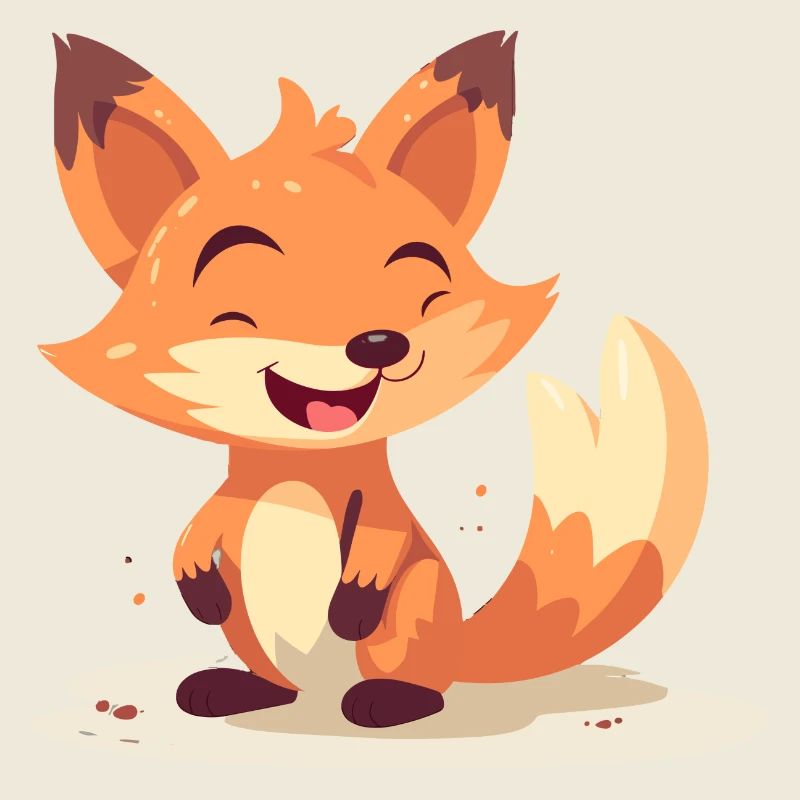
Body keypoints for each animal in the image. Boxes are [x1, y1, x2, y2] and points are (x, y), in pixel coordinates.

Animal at [42, 30, 707, 728]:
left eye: (423, 289)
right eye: (244, 302)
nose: (380, 342)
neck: (300, 470)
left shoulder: (383, 513)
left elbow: (380, 547)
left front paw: (353, 603)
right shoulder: (231, 503)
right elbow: (196, 529)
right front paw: (196, 580)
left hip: (416, 608)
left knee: (415, 677)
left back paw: (386, 698)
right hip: (250, 631)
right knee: (276, 678)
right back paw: (235, 689)